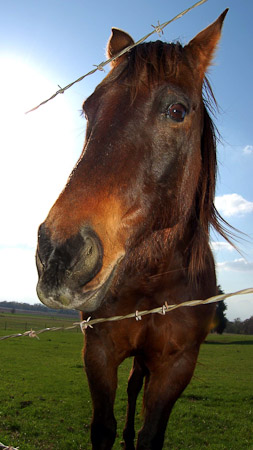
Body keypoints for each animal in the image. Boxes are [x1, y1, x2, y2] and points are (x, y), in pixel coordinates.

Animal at [36, 10, 231, 450]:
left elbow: (150, 435)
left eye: (177, 111)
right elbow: (103, 427)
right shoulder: (99, 349)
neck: (151, 280)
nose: (59, 254)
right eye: (88, 108)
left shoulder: (176, 367)